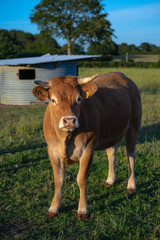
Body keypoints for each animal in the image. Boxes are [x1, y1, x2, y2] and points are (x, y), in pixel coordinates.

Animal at [32, 72, 141, 219]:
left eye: (78, 99)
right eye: (53, 100)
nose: (69, 120)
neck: (66, 138)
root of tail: (121, 75)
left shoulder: (87, 150)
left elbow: (82, 179)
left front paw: (83, 209)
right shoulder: (53, 151)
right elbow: (58, 179)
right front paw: (54, 207)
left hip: (134, 125)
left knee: (130, 154)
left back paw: (131, 185)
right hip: (113, 130)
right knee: (111, 153)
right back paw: (110, 180)